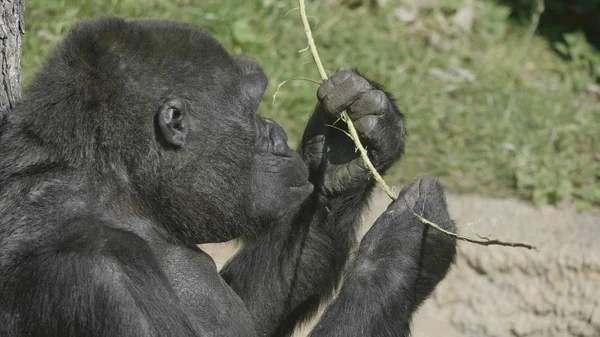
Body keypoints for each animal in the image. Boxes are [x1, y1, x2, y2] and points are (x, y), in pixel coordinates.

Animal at [0, 16, 454, 336]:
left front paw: (348, 142)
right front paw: (407, 243)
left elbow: (252, 311)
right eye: (252, 111)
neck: (129, 200)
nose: (277, 133)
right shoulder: (101, 278)